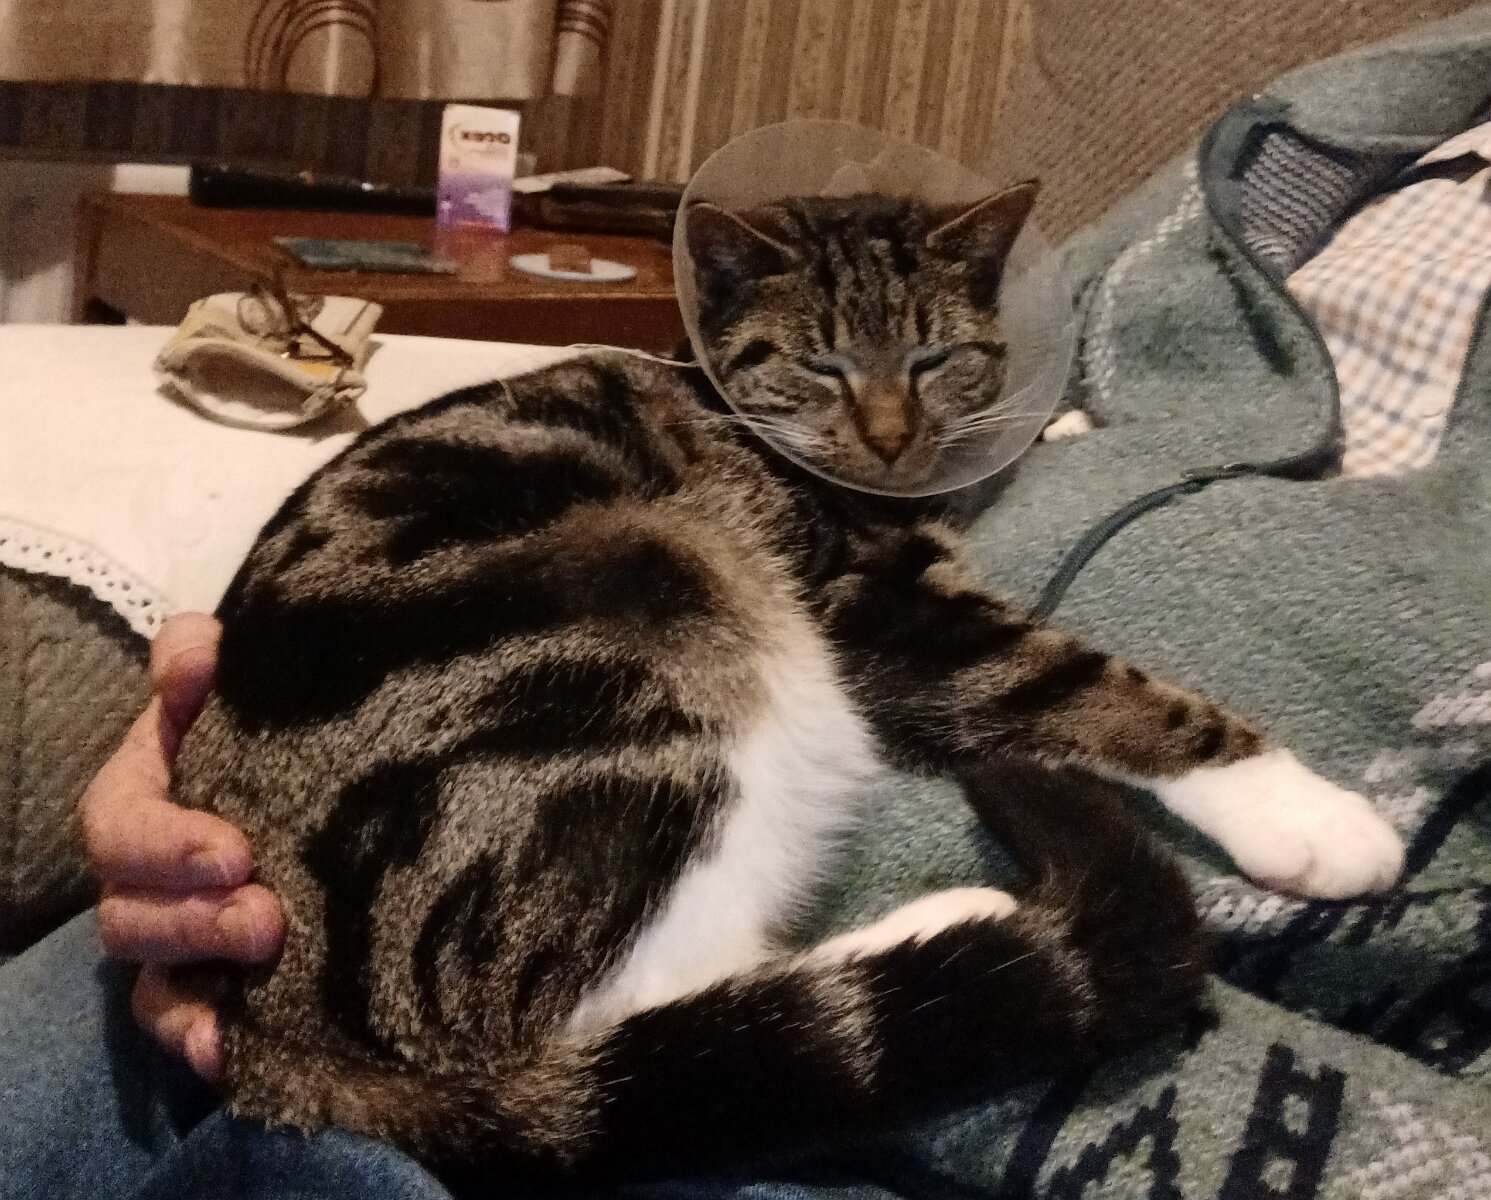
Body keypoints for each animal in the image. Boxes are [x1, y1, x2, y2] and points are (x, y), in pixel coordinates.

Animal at [171, 182, 1405, 1187]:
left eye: (935, 358)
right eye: (821, 364)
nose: (895, 436)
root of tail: (282, 1047)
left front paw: (1054, 419)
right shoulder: (886, 615)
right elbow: (1097, 688)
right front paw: (1304, 812)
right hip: (646, 608)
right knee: (632, 1013)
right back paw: (954, 919)